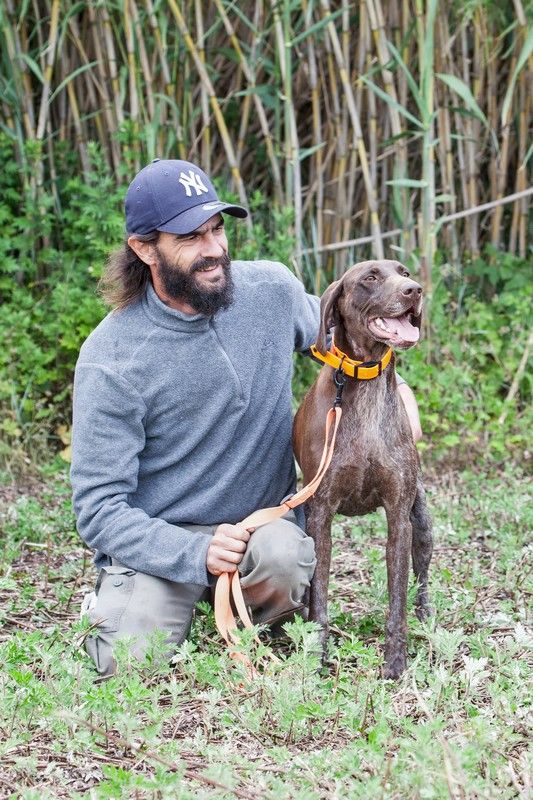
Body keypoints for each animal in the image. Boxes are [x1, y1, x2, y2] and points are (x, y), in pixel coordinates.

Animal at [294, 260, 430, 680]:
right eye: (370, 277)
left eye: (404, 272)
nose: (415, 291)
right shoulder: (320, 514)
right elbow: (319, 595)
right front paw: (317, 656)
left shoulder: (398, 518)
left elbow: (397, 599)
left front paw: (396, 662)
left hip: (422, 523)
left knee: (422, 577)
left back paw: (427, 618)